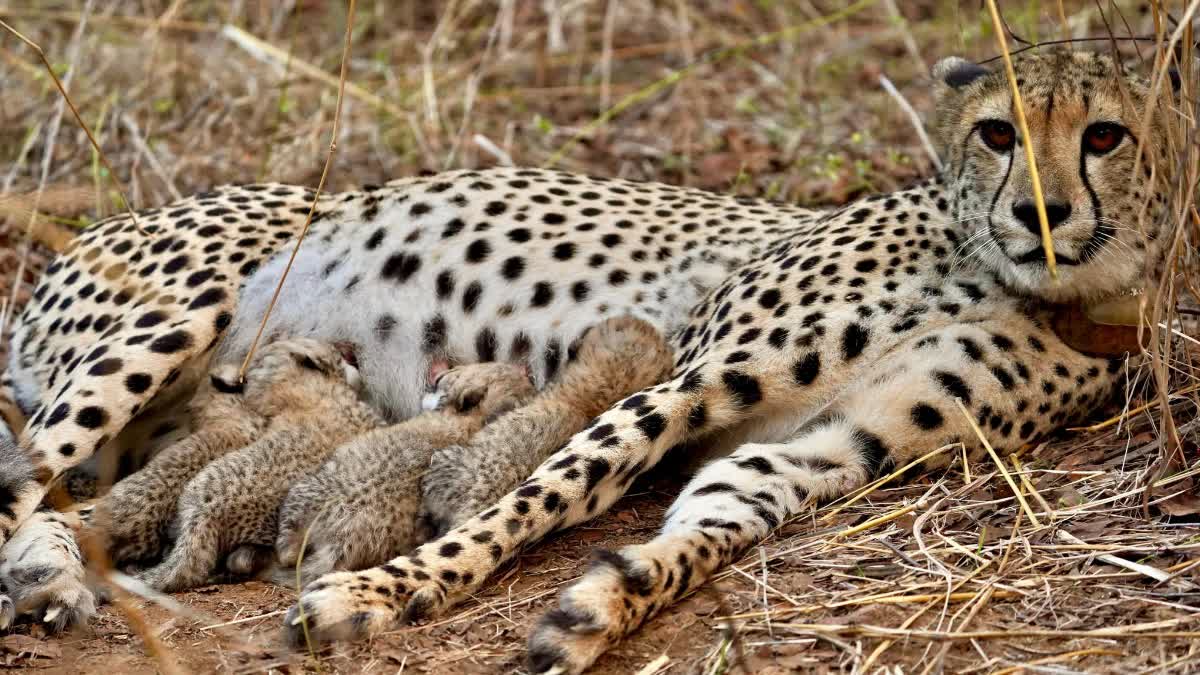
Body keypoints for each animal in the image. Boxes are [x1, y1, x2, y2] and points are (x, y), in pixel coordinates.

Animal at [0, 50, 1174, 672]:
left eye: (1105, 134)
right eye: (996, 131)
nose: (1041, 213)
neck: (1032, 284)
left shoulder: (824, 447)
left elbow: (704, 527)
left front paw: (601, 606)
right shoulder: (684, 375)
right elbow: (540, 493)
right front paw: (389, 590)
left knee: (73, 499)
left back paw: (60, 575)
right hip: (167, 321)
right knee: (24, 479)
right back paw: (47, 577)